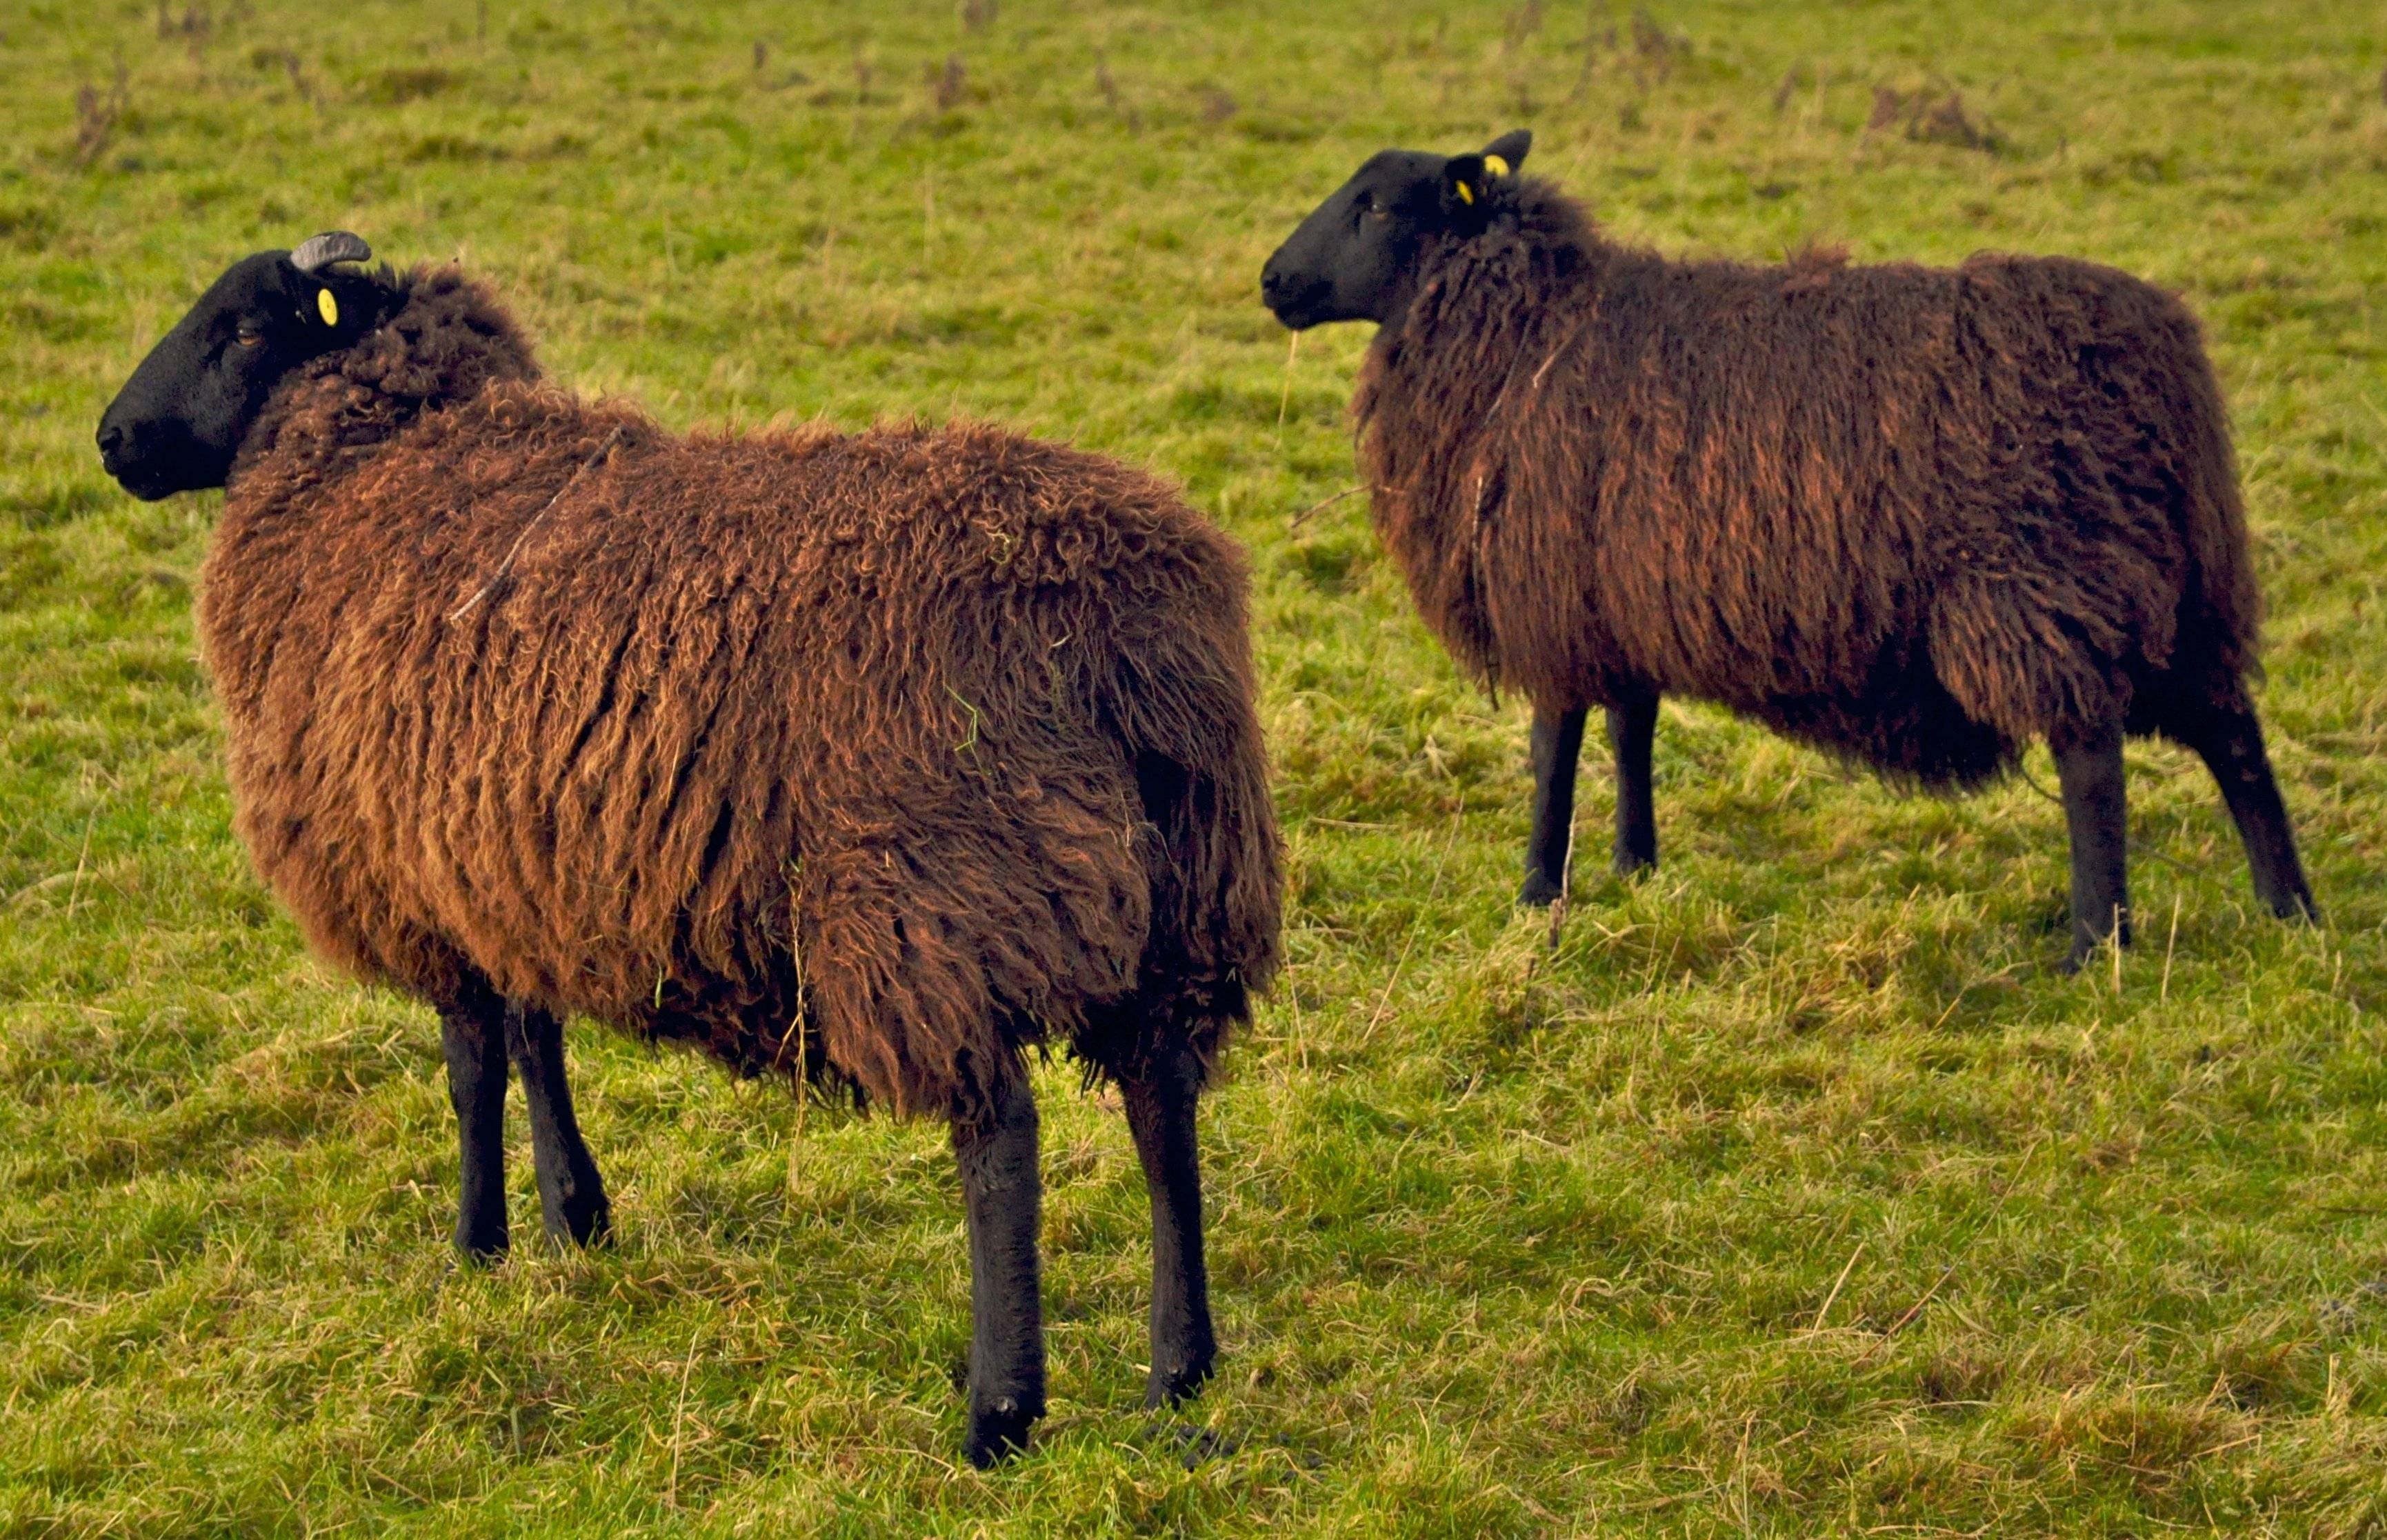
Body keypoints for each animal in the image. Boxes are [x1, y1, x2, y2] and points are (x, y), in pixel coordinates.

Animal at [100, 231, 1279, 1461]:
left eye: (242, 326)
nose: (112, 439)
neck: (378, 460)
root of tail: (1111, 630)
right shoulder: (512, 861)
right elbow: (535, 1041)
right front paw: (576, 1218)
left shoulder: (420, 883)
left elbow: (473, 1068)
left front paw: (478, 1242)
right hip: (1189, 886)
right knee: (1162, 1098)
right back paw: (1179, 1370)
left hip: (935, 908)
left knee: (1000, 1138)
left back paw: (999, 1412)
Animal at [1260, 134, 2320, 974]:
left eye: (1375, 203)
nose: (1271, 280)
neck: (1522, 337)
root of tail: (2162, 356)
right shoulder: (1621, 594)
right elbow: (1632, 730)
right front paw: (1634, 866)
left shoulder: (1551, 597)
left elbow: (1552, 753)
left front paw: (1534, 894)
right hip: (2183, 589)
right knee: (2235, 738)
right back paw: (2289, 912)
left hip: (2037, 588)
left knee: (2092, 761)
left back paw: (2094, 945)